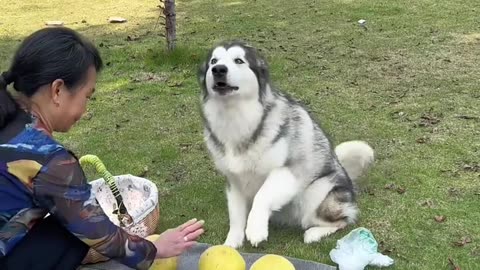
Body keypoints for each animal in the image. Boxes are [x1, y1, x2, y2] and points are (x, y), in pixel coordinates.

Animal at [197, 41, 374, 248]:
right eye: (213, 61)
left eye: (238, 60)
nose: (218, 70)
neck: (235, 119)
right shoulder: (234, 181)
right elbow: (236, 216)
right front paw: (231, 244)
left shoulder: (288, 171)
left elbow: (262, 196)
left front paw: (255, 229)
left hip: (314, 195)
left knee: (344, 219)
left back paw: (314, 233)